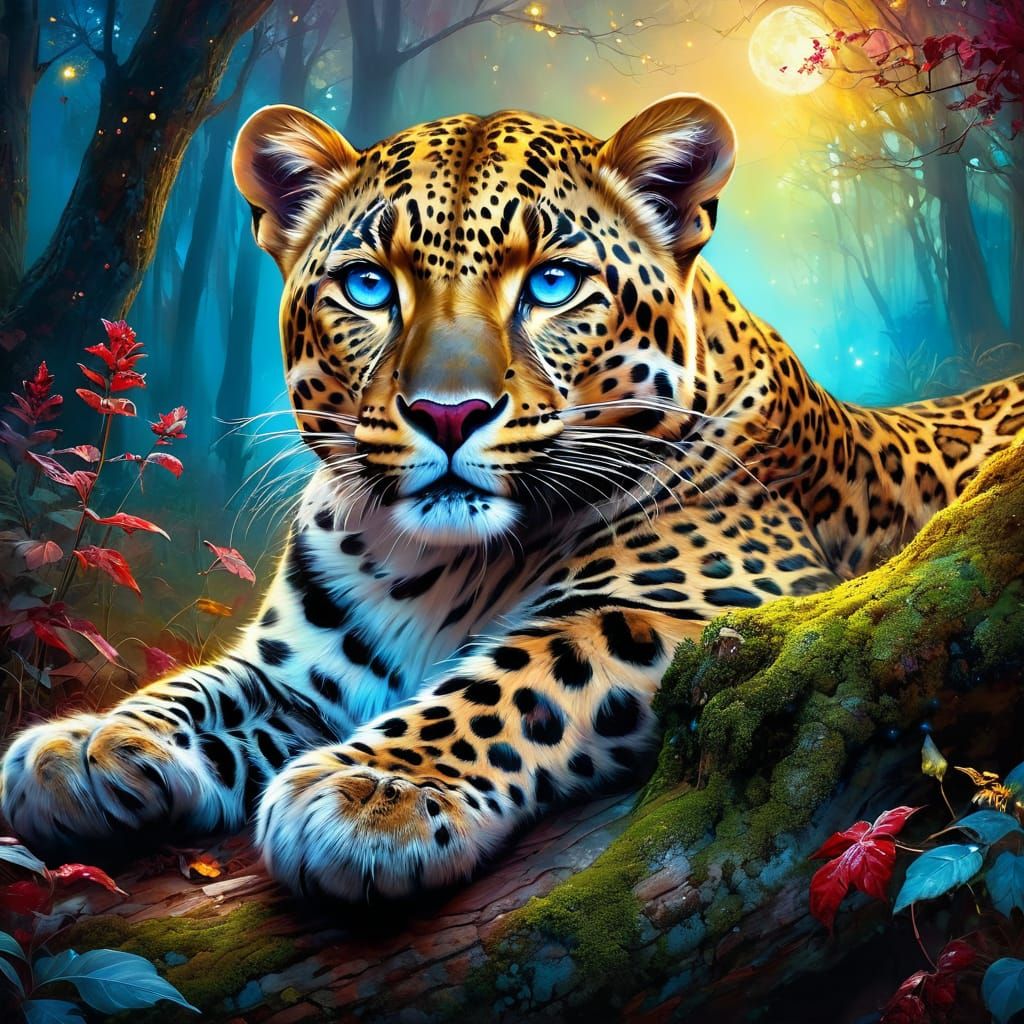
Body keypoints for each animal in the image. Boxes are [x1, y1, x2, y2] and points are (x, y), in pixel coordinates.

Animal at [2, 94, 1022, 901]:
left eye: (554, 283)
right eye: (368, 285)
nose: (447, 413)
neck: (427, 565)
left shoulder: (731, 607)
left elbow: (520, 674)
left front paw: (379, 792)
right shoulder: (304, 668)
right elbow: (209, 686)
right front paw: (89, 743)